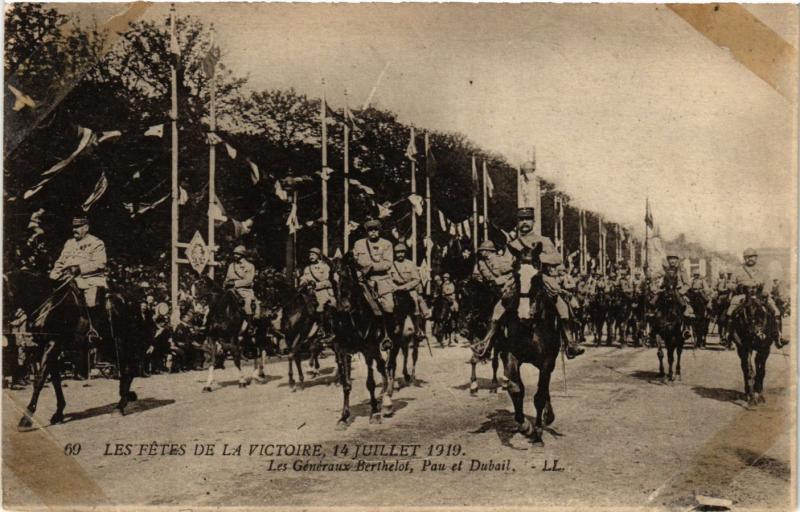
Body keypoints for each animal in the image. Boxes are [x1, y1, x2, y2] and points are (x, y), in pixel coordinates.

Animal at [8, 270, 144, 430]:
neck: (49, 306)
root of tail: (132, 300)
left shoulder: (52, 345)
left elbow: (40, 380)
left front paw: (26, 418)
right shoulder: (44, 349)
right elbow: (55, 381)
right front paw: (58, 413)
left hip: (122, 342)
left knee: (128, 370)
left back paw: (120, 406)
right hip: (109, 345)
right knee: (126, 370)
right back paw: (126, 396)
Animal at [330, 253, 392, 428]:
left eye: (347, 276)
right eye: (331, 279)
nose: (342, 308)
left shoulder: (368, 349)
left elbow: (370, 383)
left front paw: (375, 413)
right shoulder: (343, 350)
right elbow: (346, 384)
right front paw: (344, 417)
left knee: (388, 366)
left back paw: (387, 401)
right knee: (382, 366)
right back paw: (384, 398)